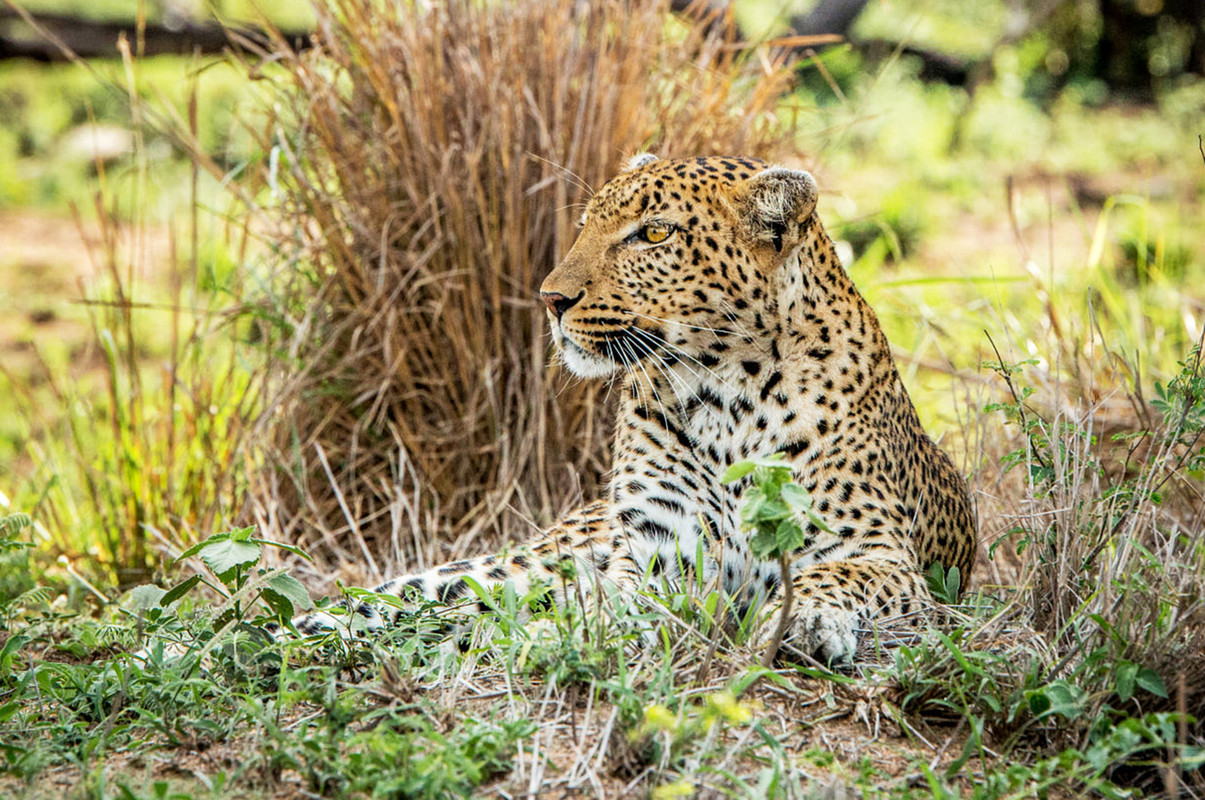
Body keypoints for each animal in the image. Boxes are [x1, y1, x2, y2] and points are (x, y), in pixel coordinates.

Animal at [291, 154, 977, 662]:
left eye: (654, 233)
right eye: (585, 225)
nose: (550, 298)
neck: (728, 392)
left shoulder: (878, 551)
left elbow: (833, 578)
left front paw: (806, 624)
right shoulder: (658, 548)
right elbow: (613, 601)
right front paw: (565, 636)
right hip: (528, 561)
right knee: (417, 595)